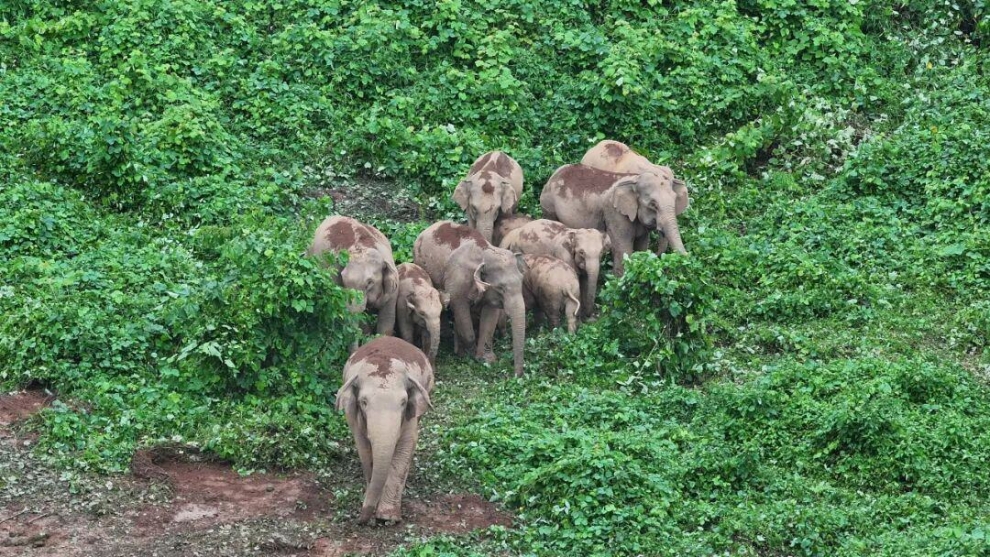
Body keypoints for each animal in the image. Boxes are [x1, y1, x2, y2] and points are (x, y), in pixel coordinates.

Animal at [335, 336, 434, 524]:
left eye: (403, 402)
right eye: (364, 402)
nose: (359, 520)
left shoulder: (409, 416)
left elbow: (406, 446)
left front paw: (387, 517)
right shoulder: (355, 417)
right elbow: (364, 449)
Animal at [413, 221, 527, 377]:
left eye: (521, 282)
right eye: (501, 288)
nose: (516, 376)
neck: (485, 252)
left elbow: (490, 316)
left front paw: (486, 359)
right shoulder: (458, 282)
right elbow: (460, 309)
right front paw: (470, 354)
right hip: (421, 263)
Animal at [540, 164, 687, 276]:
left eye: (675, 200)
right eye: (653, 204)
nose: (656, 256)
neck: (635, 178)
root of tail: (554, 174)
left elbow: (641, 244)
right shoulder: (614, 212)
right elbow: (623, 247)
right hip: (549, 205)